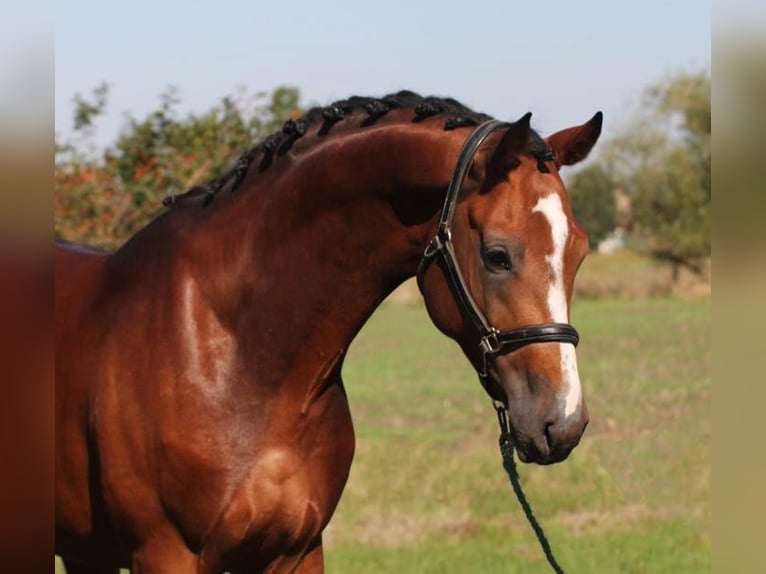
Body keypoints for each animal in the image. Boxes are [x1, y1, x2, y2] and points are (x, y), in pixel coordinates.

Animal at [55, 92, 608, 572]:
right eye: (497, 255)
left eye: (579, 251)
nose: (563, 422)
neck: (237, 353)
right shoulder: (166, 555)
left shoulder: (297, 550)